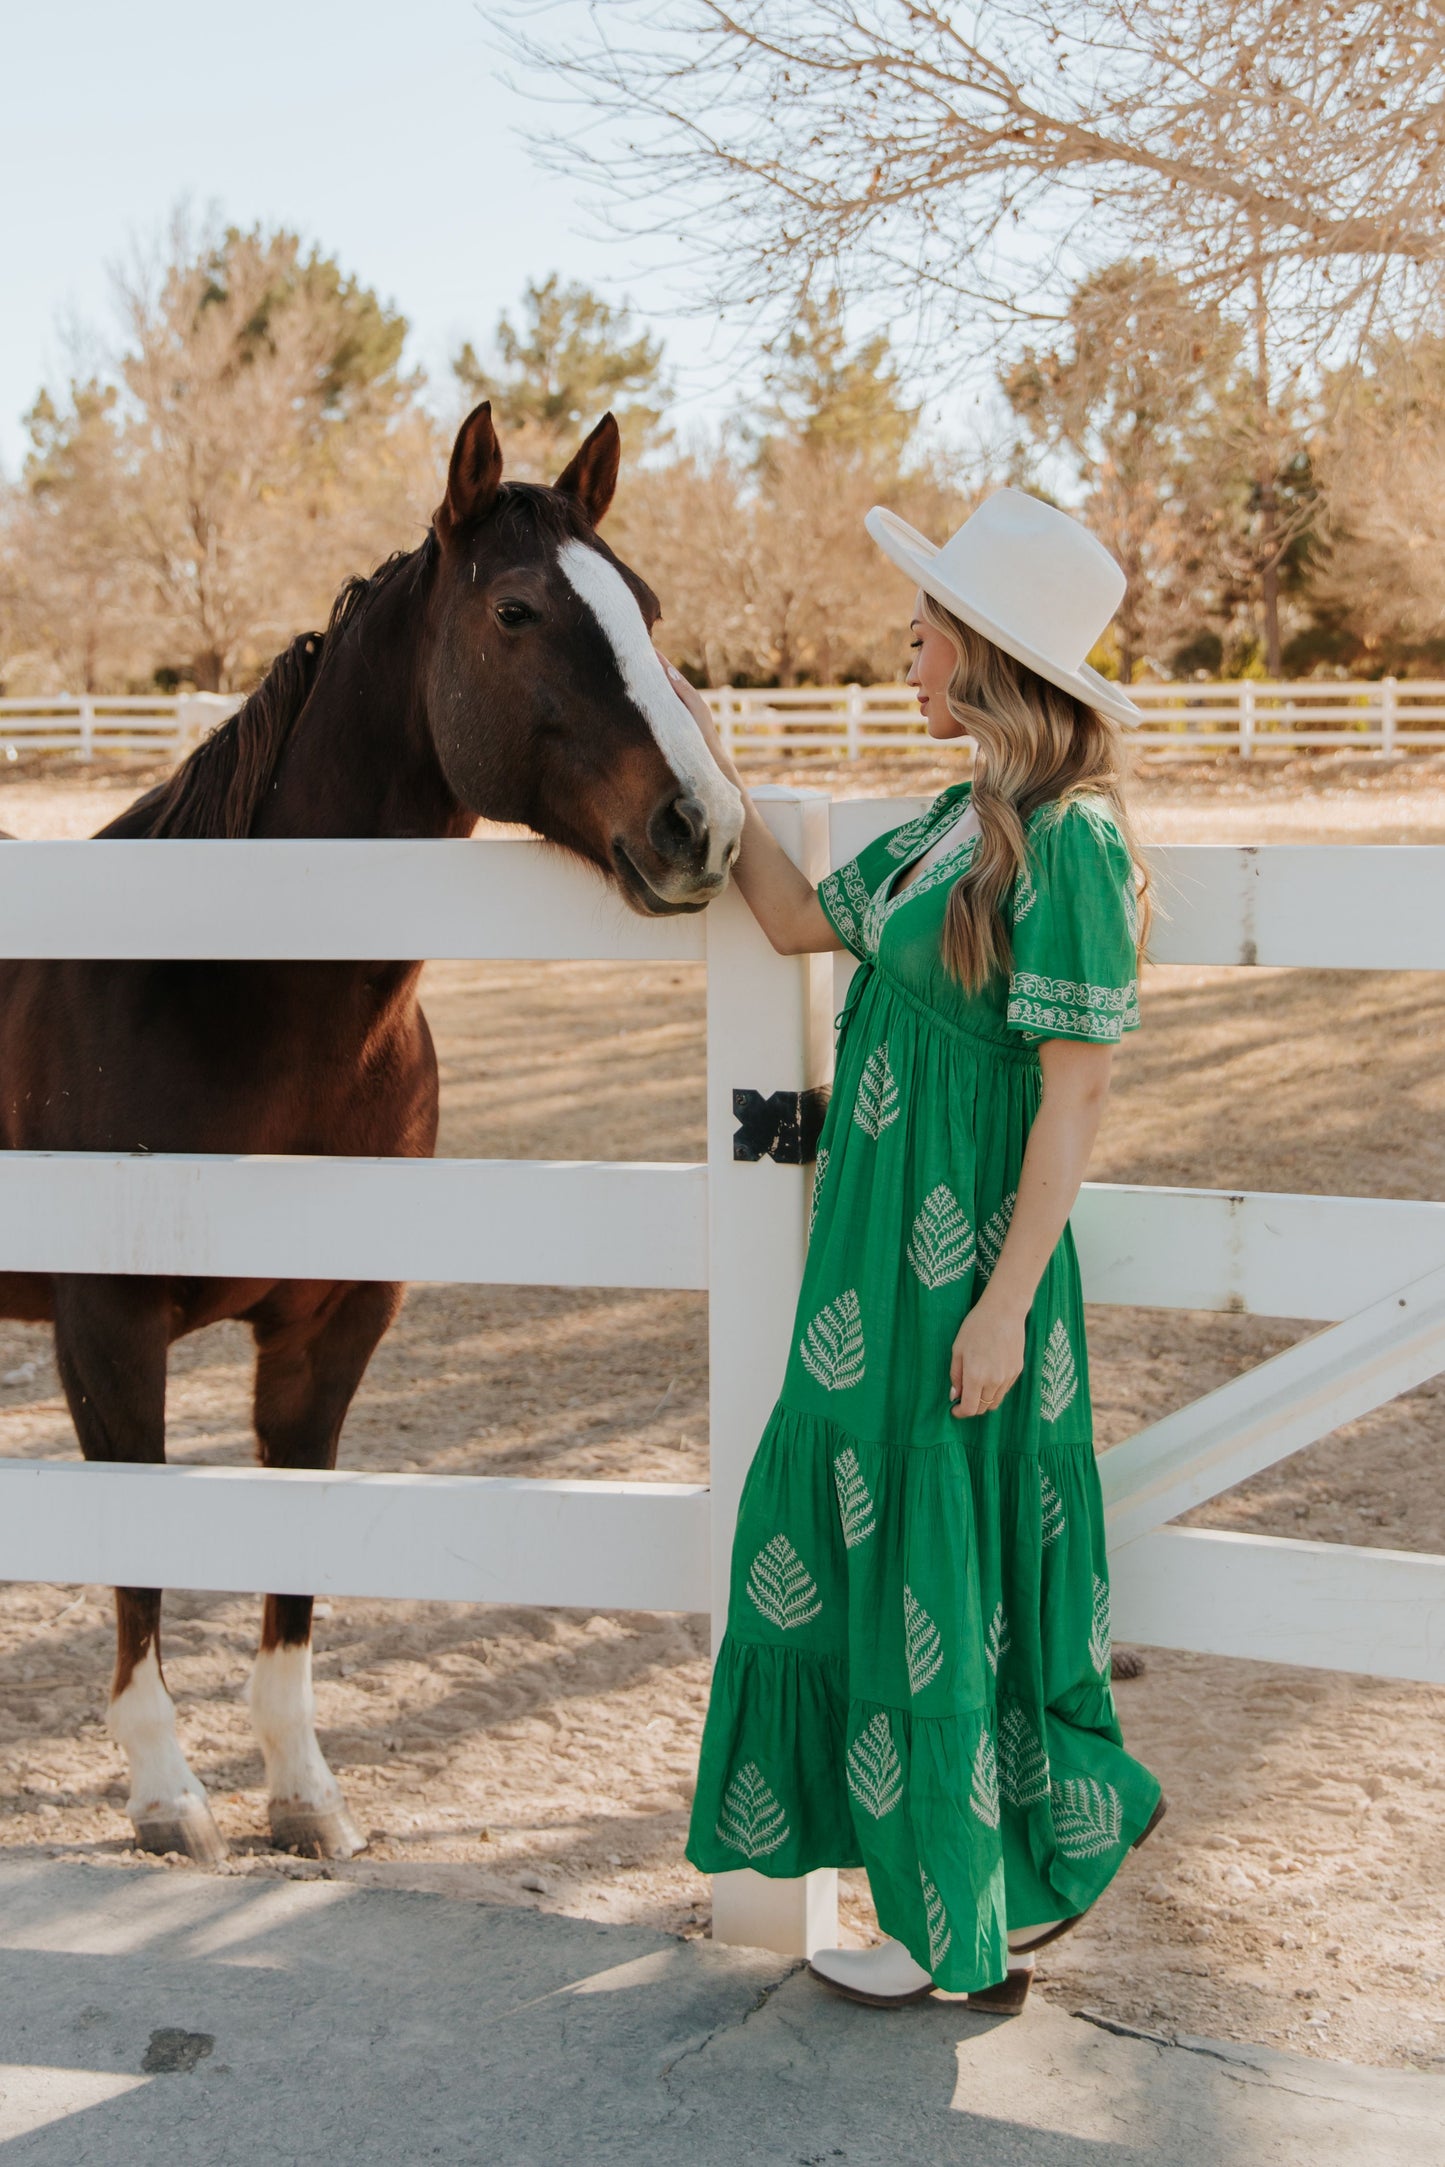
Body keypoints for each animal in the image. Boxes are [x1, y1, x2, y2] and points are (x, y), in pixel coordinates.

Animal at [0, 403, 745, 1863]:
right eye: (514, 609)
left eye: (646, 605)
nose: (704, 824)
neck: (221, 988)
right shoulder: (105, 1329)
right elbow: (137, 1548)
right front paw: (168, 1798)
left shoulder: (331, 1328)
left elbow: (296, 1560)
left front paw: (303, 1793)